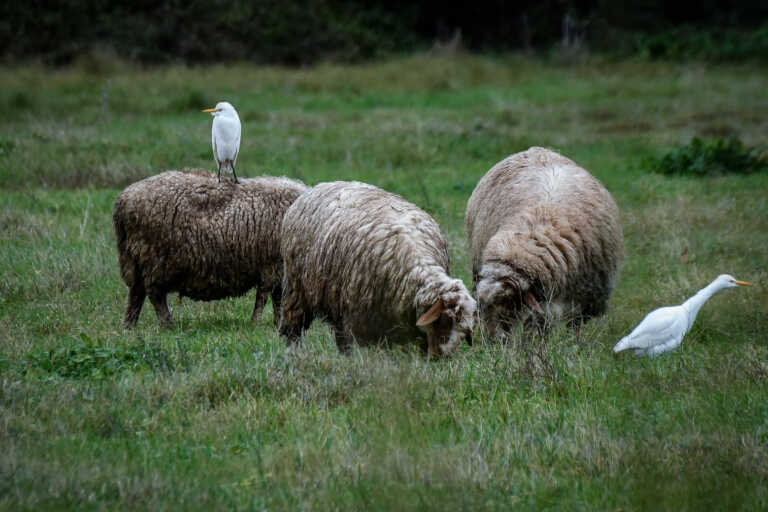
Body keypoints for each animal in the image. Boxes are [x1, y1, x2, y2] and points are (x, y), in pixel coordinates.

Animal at [112, 169, 308, 328]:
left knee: (136, 293)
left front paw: (276, 322)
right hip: (154, 258)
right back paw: (167, 324)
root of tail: (123, 201)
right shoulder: (272, 266)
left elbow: (276, 298)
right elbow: (265, 296)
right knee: (154, 293)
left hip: (135, 258)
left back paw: (129, 326)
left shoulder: (277, 269)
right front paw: (257, 323)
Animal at [280, 182, 476, 358]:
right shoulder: (360, 317)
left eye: (463, 333)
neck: (418, 266)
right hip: (297, 288)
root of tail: (319, 186)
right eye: (444, 321)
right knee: (293, 326)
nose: (439, 358)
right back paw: (293, 352)